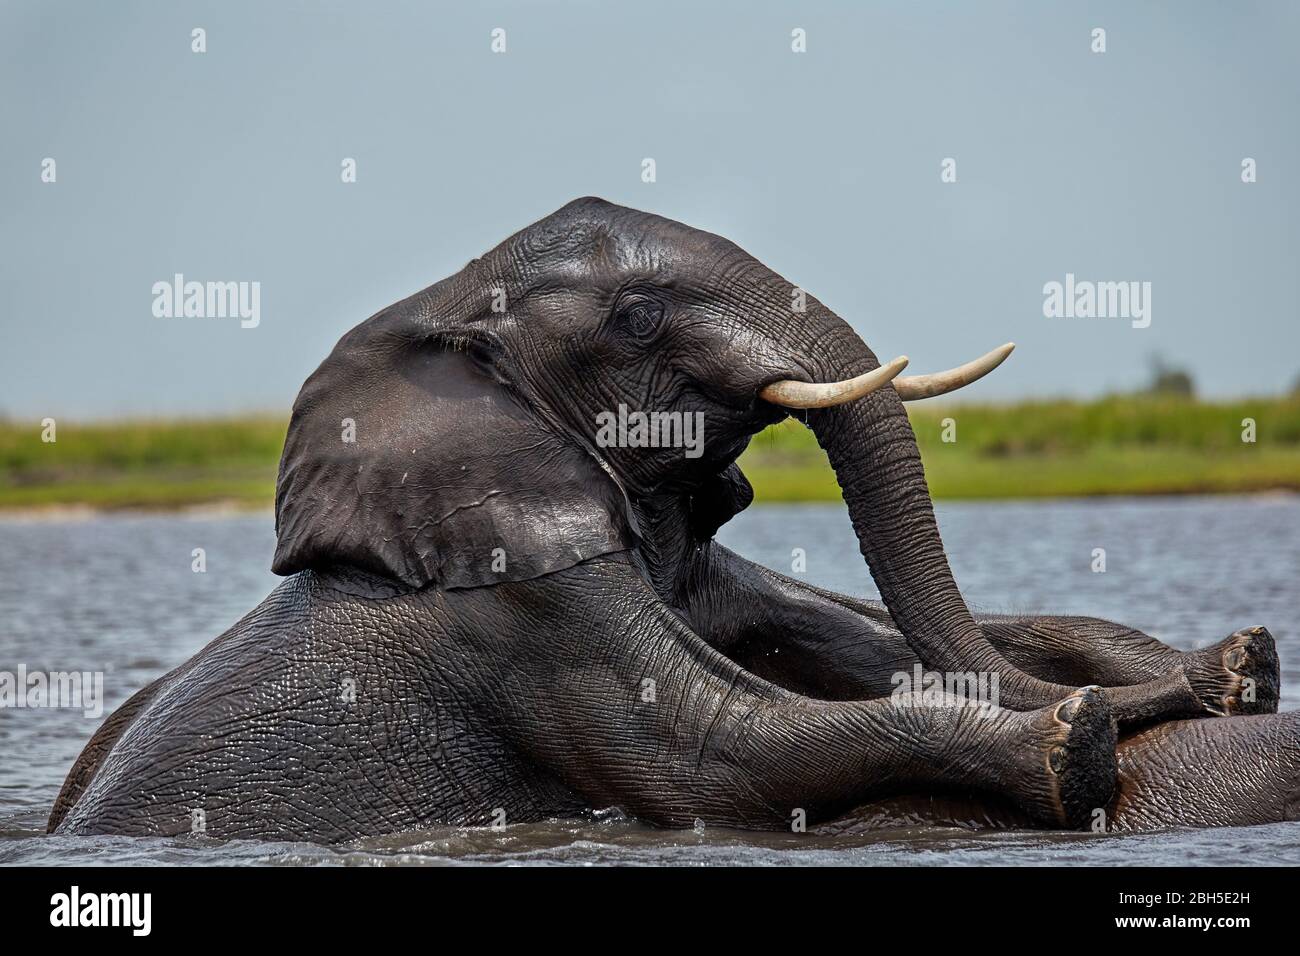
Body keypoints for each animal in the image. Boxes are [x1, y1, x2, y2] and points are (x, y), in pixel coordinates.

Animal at [45, 197, 1294, 842]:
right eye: (638, 317)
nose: (1240, 658)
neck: (440, 310)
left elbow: (866, 645)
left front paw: (1226, 668)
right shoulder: (519, 599)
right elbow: (713, 746)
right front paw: (1073, 739)